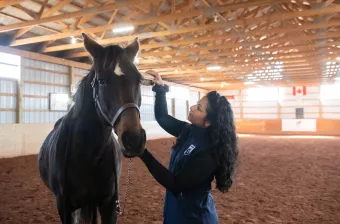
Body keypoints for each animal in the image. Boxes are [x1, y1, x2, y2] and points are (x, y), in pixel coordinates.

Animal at [38, 33, 146, 224]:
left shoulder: (109, 206)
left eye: (139, 79)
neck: (89, 155)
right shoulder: (65, 207)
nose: (134, 139)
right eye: (101, 81)